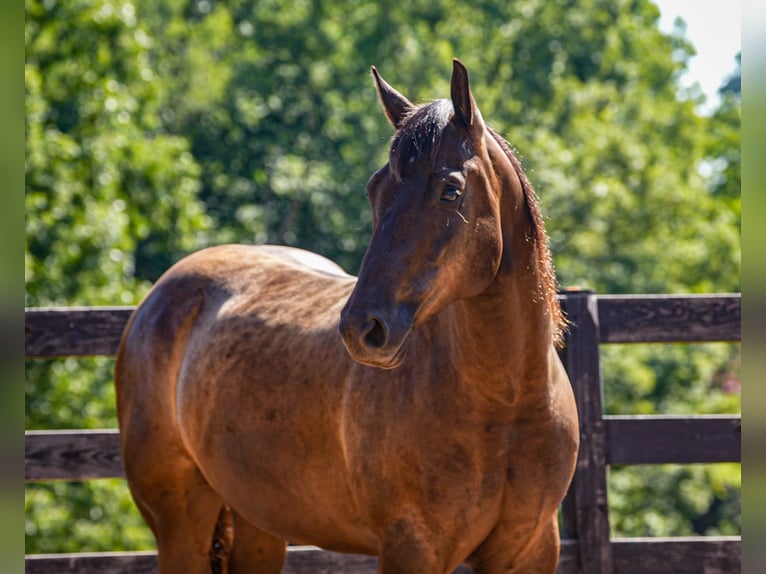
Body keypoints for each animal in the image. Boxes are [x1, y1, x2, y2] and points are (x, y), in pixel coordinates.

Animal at [115, 59, 579, 574]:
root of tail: (157, 299)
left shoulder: (530, 550)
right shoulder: (411, 547)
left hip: (258, 524)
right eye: (376, 189)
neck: (506, 406)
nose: (362, 329)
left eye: (450, 190)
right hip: (180, 526)